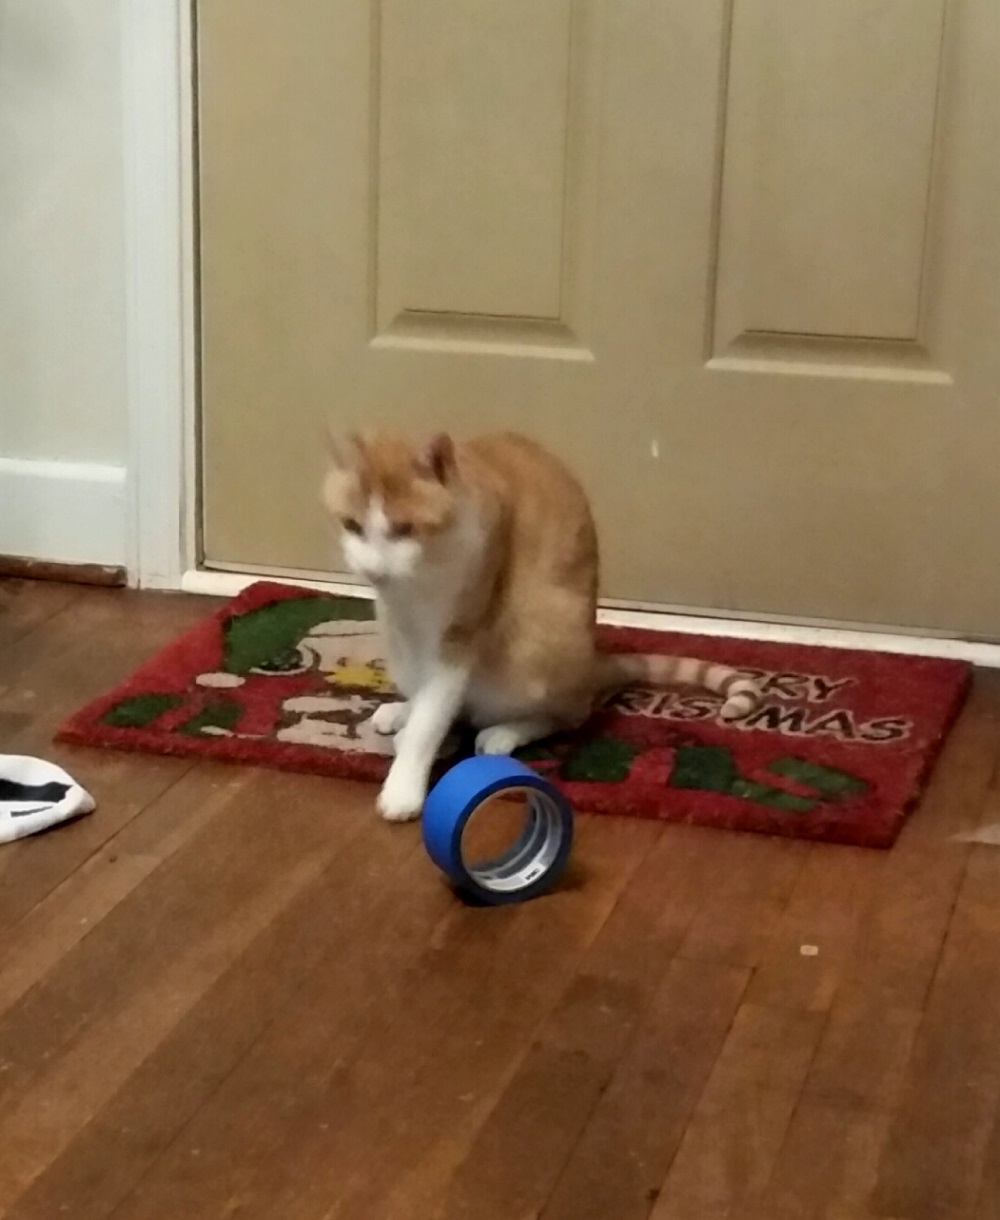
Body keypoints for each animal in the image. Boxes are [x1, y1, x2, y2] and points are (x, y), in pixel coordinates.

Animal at [322, 430, 760, 821]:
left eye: (403, 529)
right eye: (352, 526)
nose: (373, 570)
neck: (420, 580)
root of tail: (592, 663)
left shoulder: (462, 633)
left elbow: (432, 714)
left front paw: (403, 788)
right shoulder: (402, 626)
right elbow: (425, 694)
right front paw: (412, 715)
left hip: (541, 641)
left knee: (568, 714)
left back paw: (505, 732)